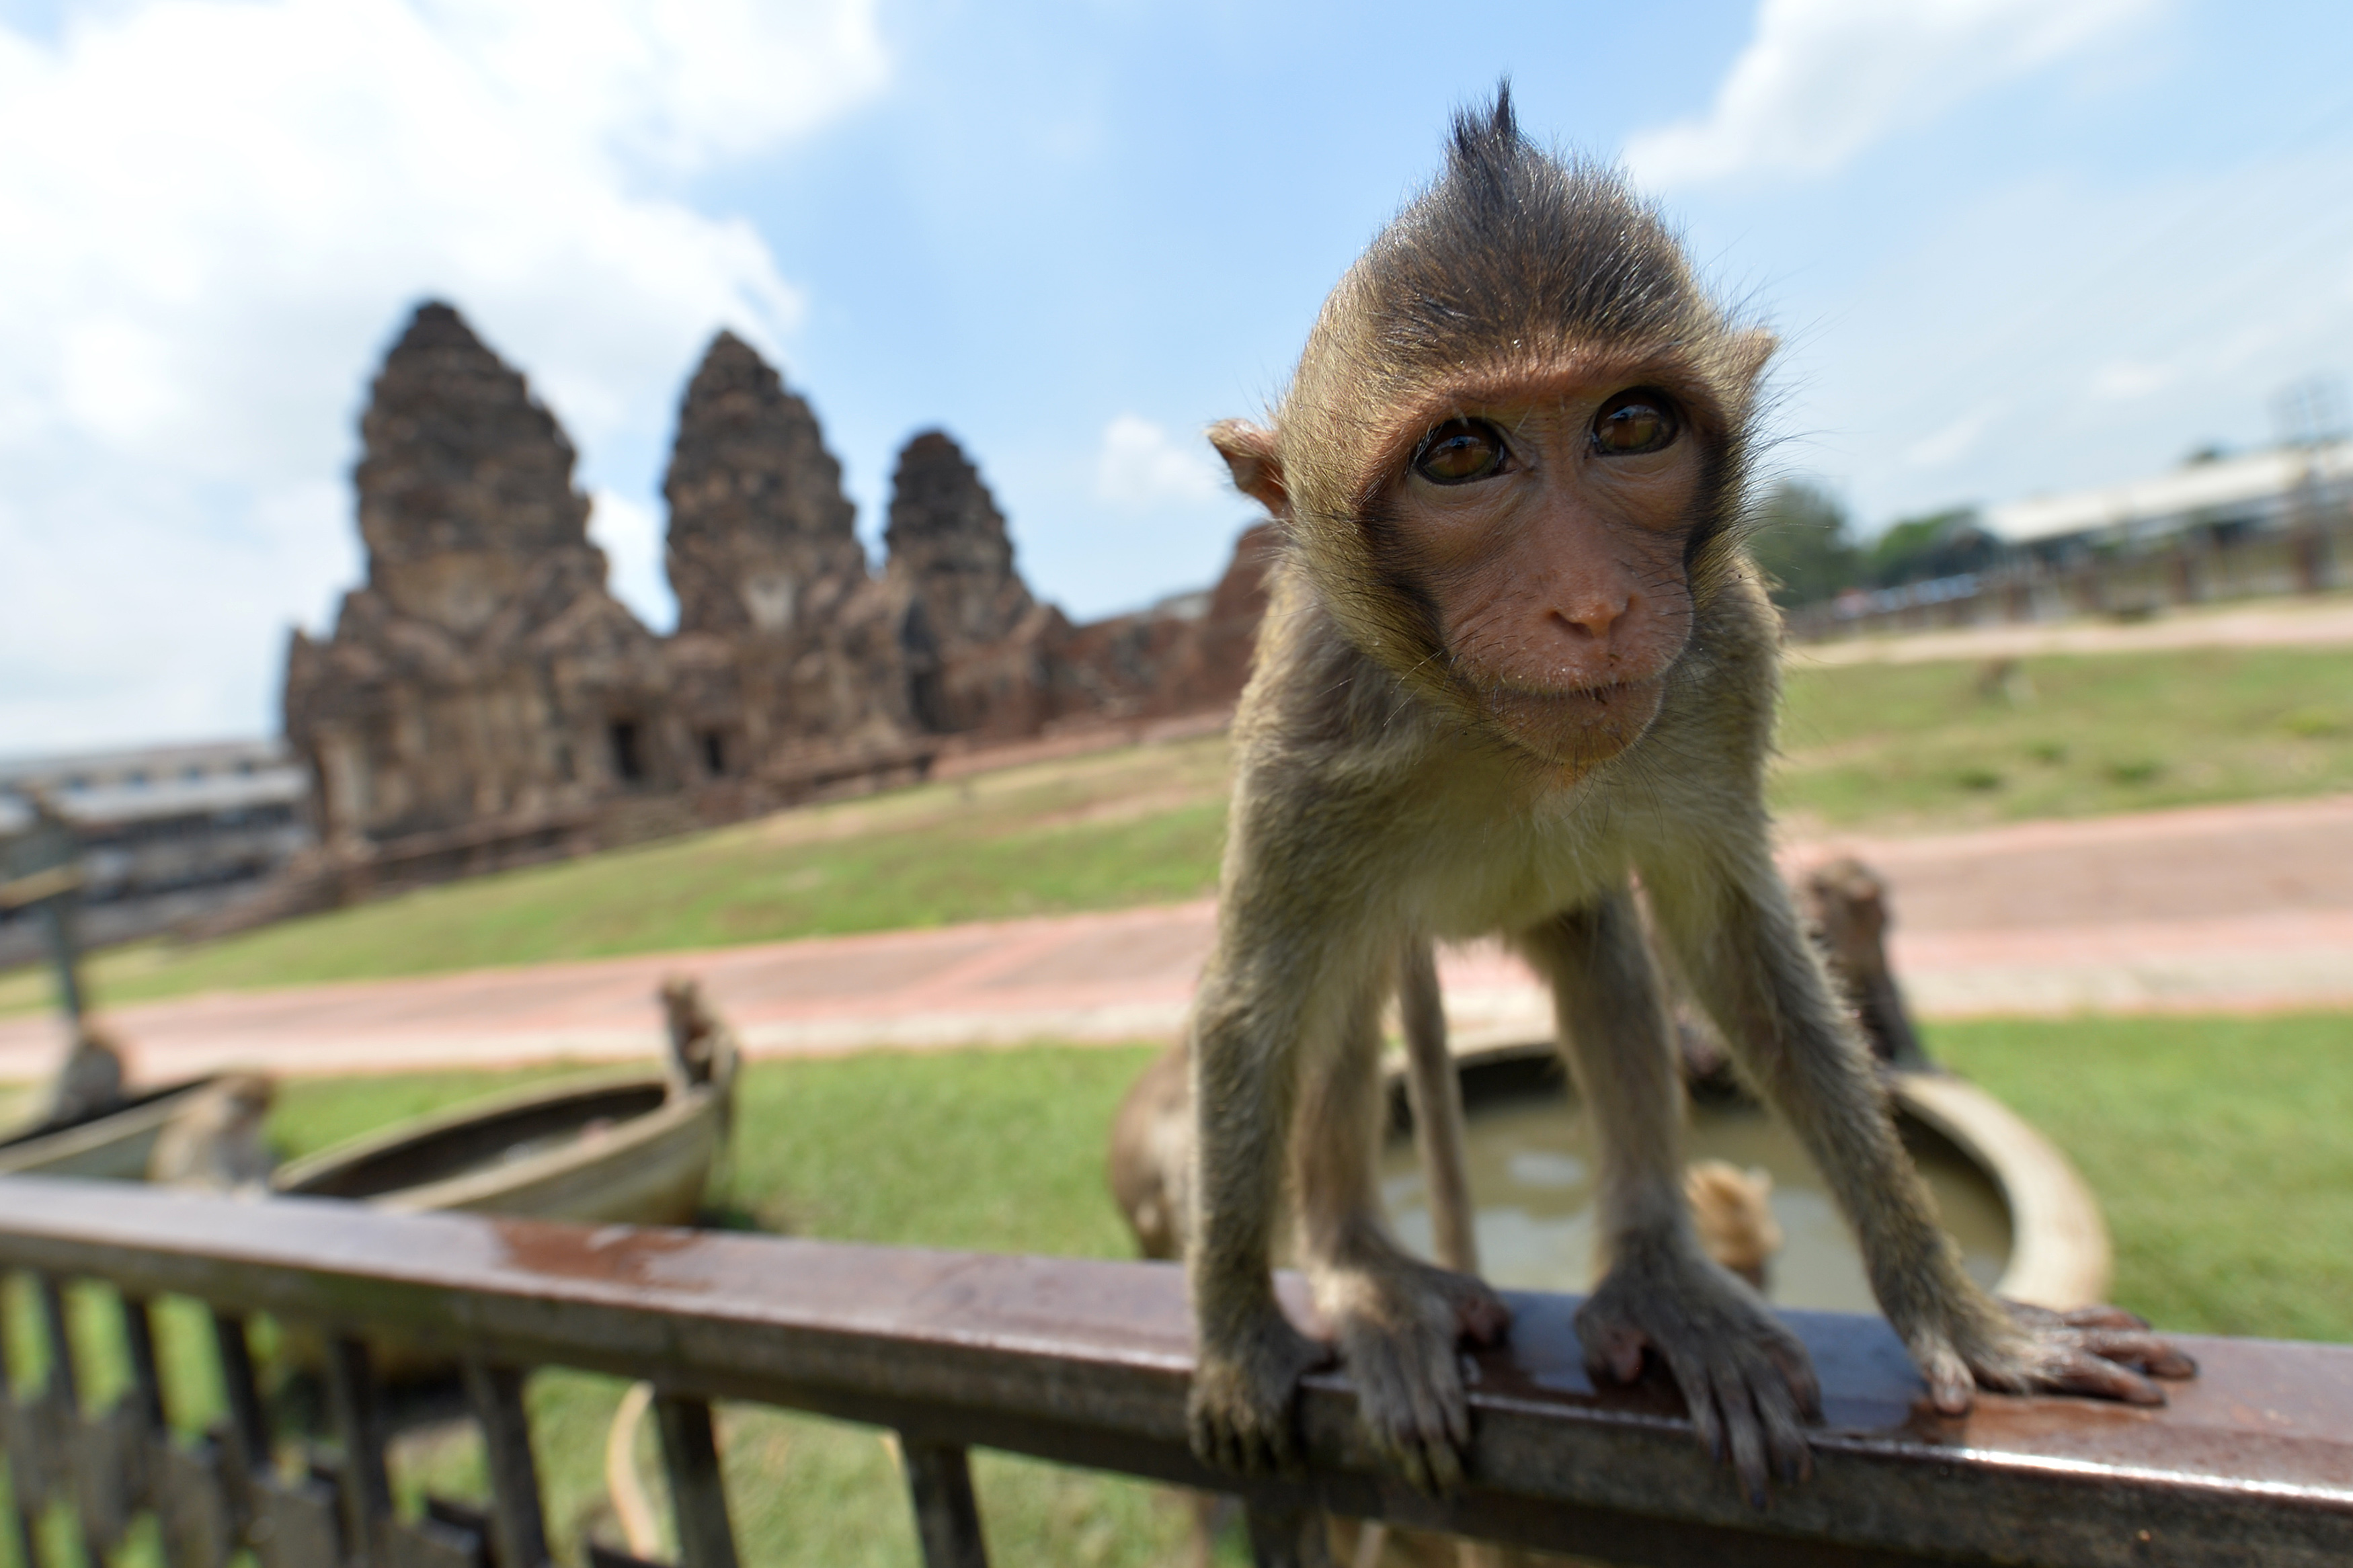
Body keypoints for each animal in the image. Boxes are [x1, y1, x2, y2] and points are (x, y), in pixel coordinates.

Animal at [1186, 89, 2193, 1504]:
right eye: (1461, 452)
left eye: (1630, 427)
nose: (1594, 603)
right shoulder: (1313, 728)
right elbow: (1256, 1003)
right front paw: (1237, 1342)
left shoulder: (1724, 654)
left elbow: (1733, 948)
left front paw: (1960, 1311)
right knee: (1335, 1000)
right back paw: (1364, 1271)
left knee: (1605, 957)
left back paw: (1661, 1280)